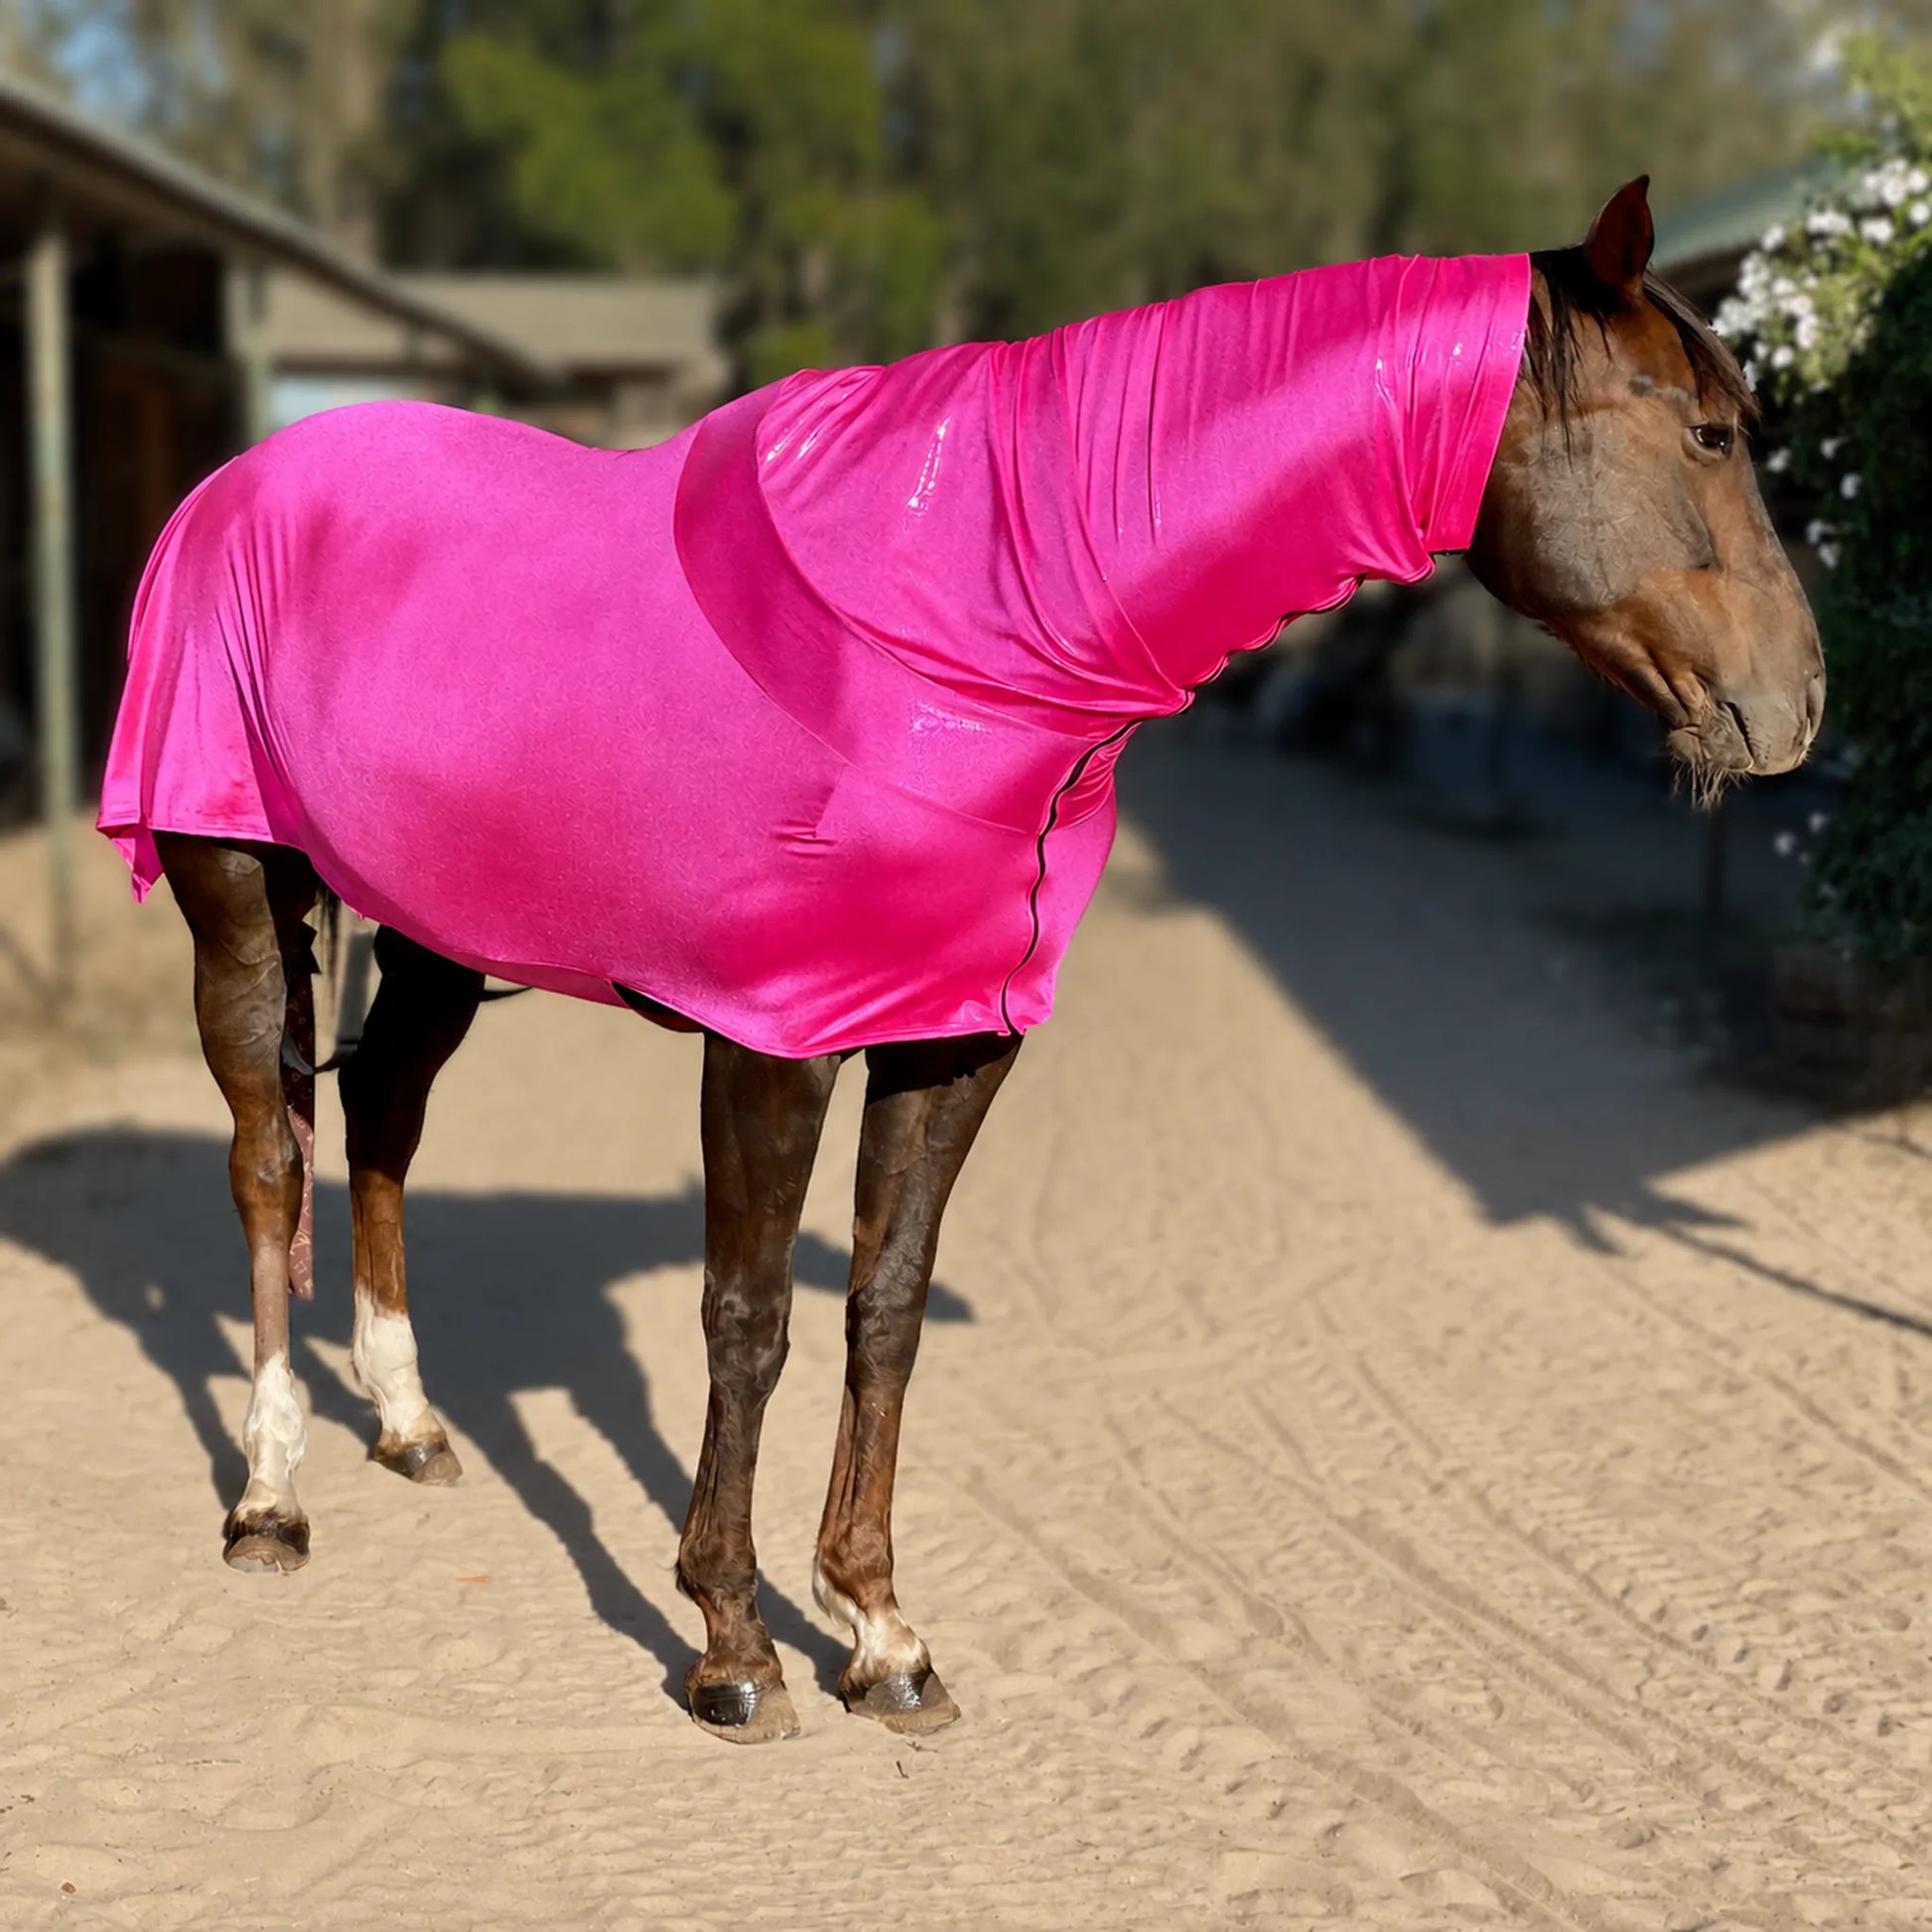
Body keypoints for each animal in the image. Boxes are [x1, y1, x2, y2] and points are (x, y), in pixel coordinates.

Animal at [96, 178, 1822, 1745]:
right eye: (1708, 435)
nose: (1796, 705)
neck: (969, 623)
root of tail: (241, 482)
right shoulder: (771, 1033)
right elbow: (749, 1318)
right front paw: (733, 1644)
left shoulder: (954, 1033)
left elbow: (885, 1304)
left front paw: (879, 1633)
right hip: (234, 892)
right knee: (268, 1162)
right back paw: (272, 1495)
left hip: (437, 922)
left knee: (383, 1111)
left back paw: (407, 1418)